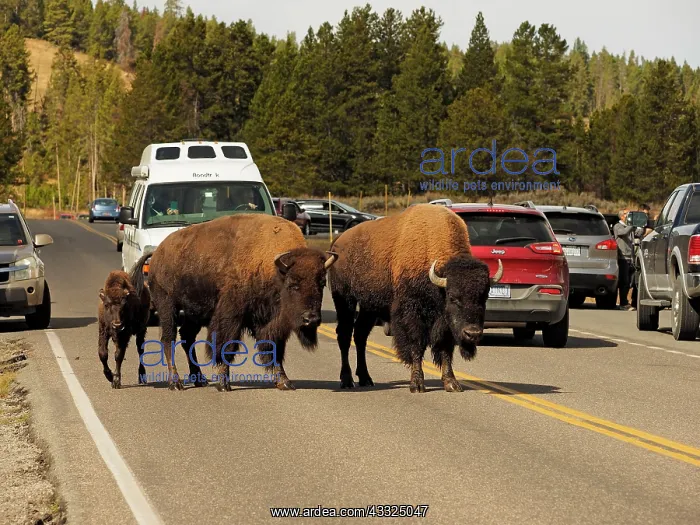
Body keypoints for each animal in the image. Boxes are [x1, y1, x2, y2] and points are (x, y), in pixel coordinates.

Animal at [130, 214, 338, 391]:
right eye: (293, 284)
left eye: (321, 283)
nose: (311, 319)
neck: (271, 266)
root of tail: (157, 253)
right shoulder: (231, 315)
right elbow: (226, 346)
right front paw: (223, 383)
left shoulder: (270, 323)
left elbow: (274, 349)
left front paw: (284, 382)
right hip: (168, 306)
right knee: (169, 339)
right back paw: (176, 383)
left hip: (194, 312)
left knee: (187, 337)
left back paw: (199, 379)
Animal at [328, 203, 502, 392]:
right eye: (453, 298)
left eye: (484, 297)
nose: (473, 333)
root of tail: (338, 242)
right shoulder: (412, 314)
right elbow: (416, 345)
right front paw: (417, 384)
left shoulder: (445, 323)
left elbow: (445, 348)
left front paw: (451, 383)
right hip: (345, 300)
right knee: (344, 334)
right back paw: (347, 380)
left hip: (369, 306)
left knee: (360, 335)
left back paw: (366, 378)